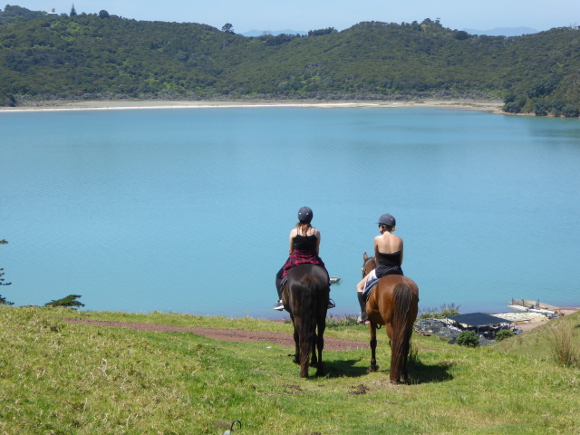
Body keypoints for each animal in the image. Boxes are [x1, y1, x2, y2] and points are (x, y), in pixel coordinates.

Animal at [360, 252, 420, 384]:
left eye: (363, 270)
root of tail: (402, 285)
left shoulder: (371, 322)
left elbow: (373, 342)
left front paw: (372, 366)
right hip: (409, 324)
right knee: (405, 345)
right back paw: (404, 373)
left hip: (389, 324)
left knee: (394, 343)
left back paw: (395, 376)